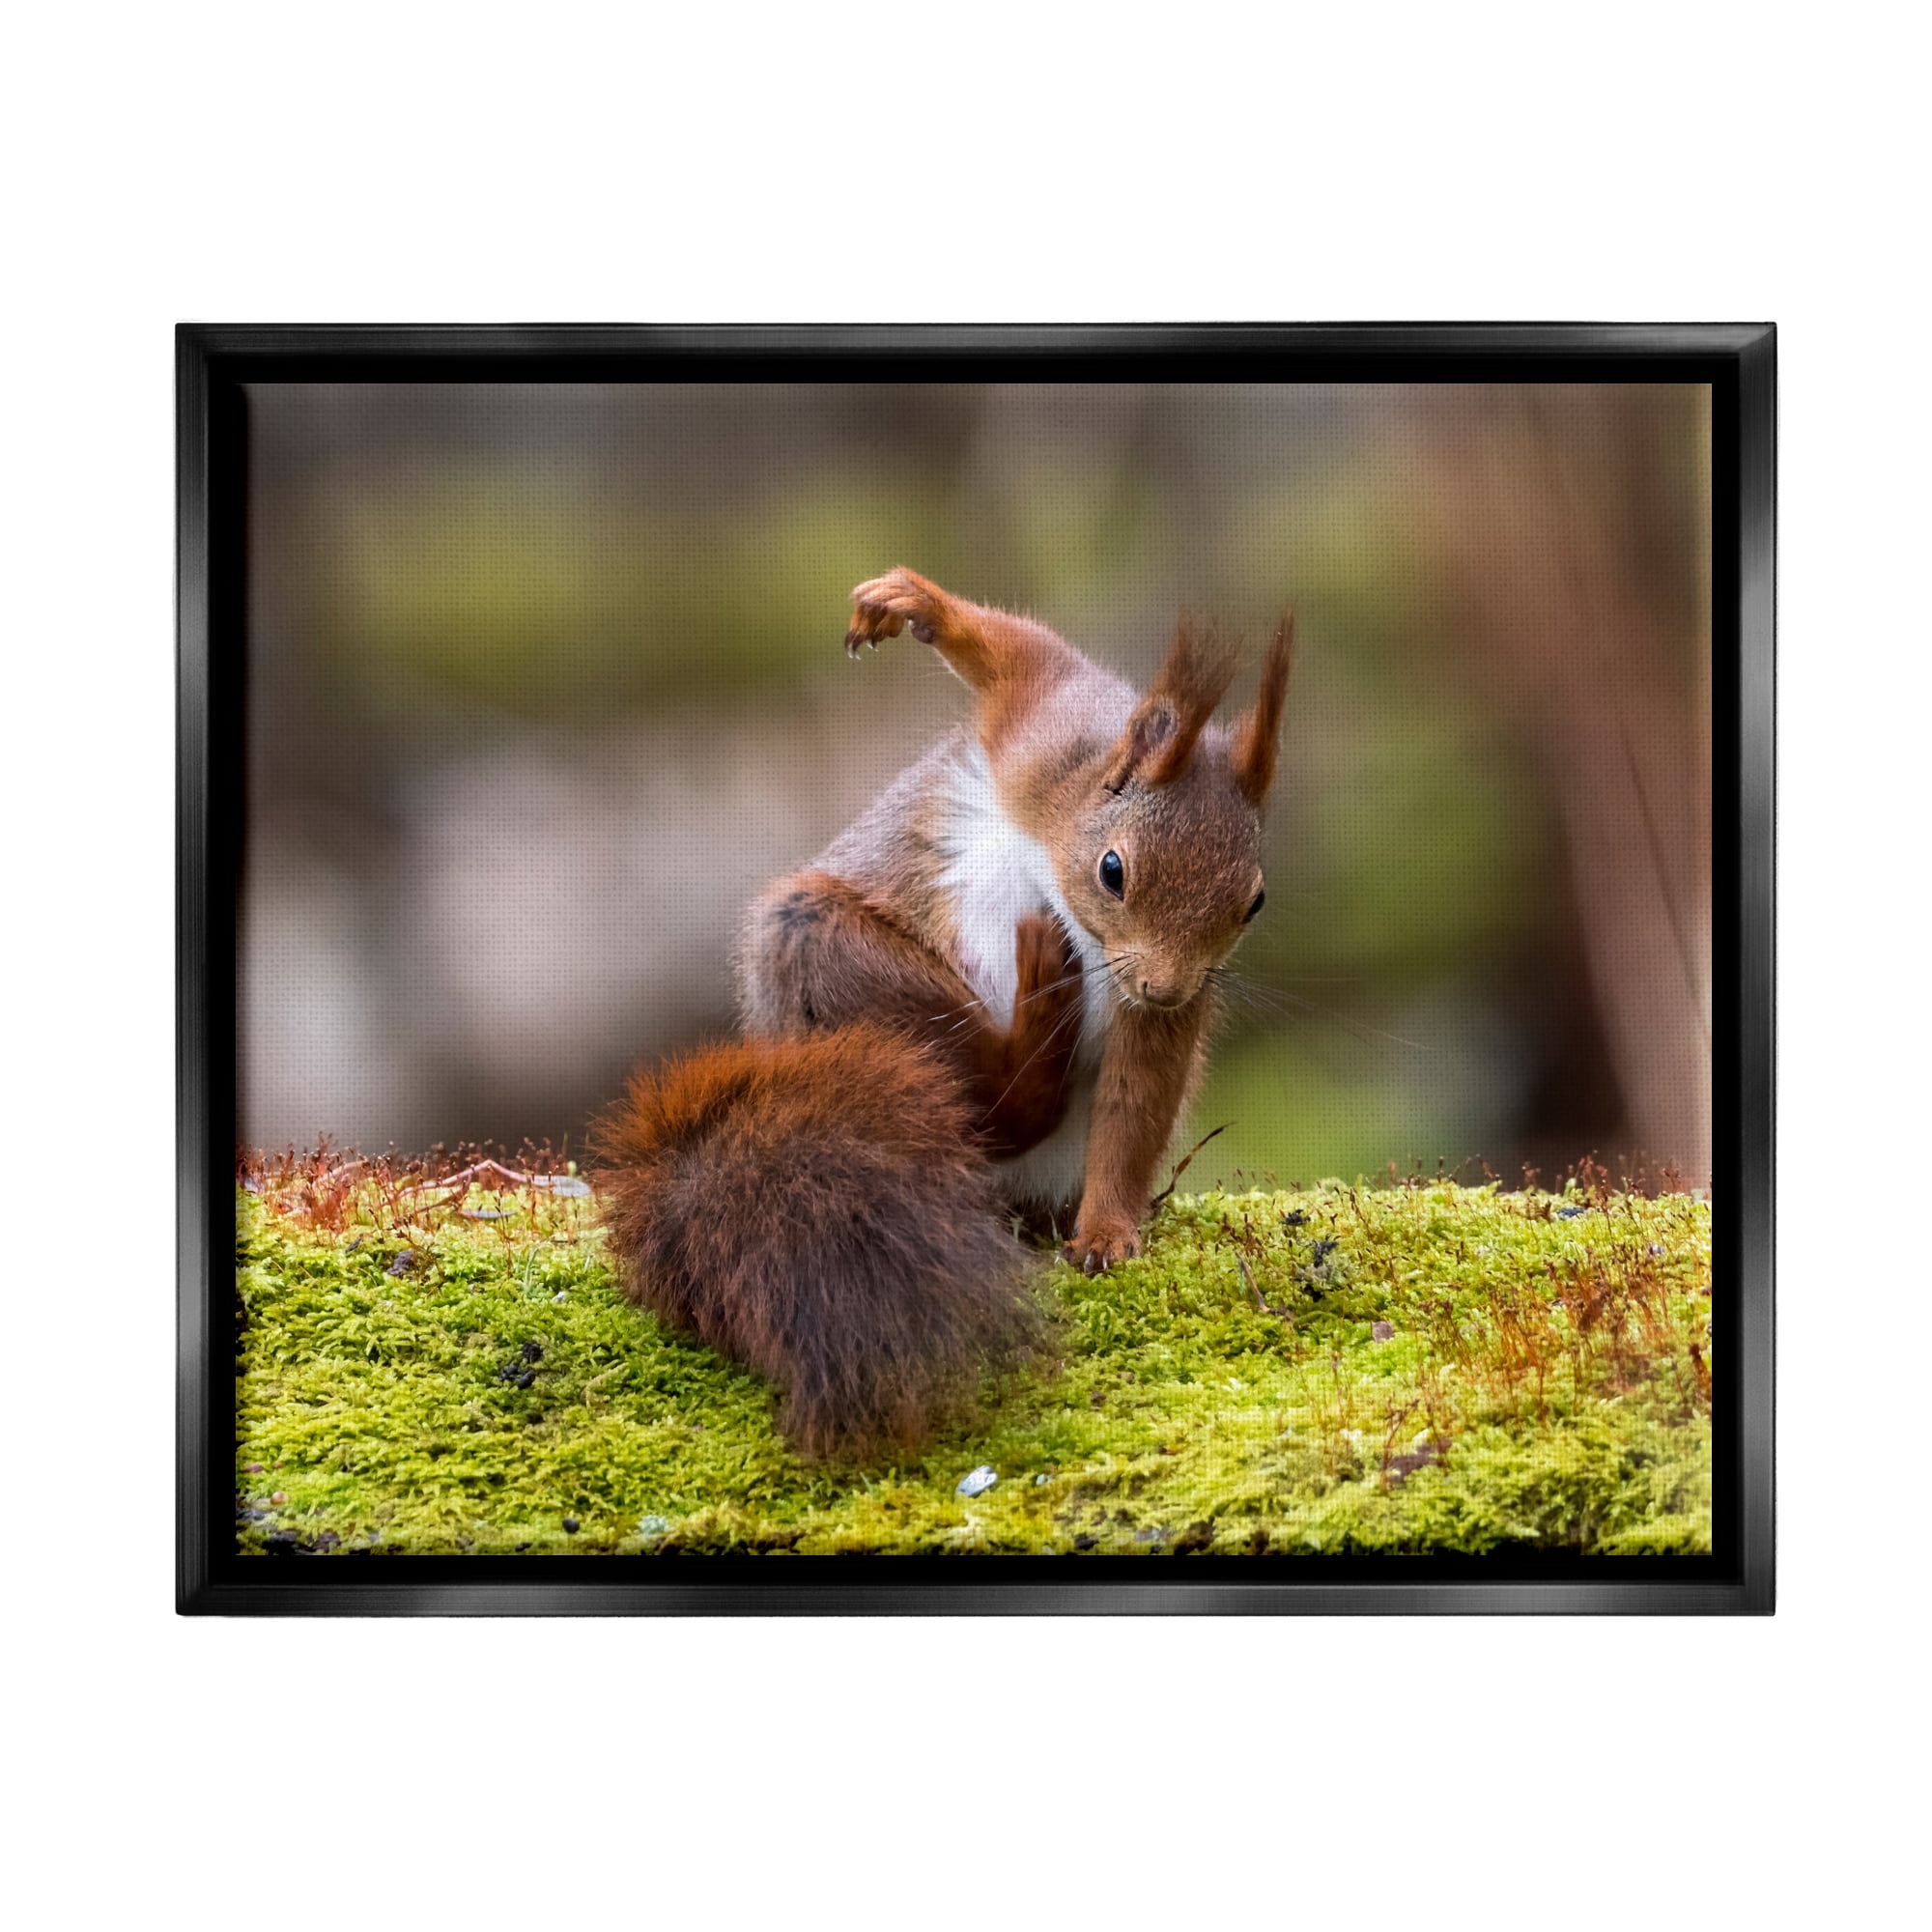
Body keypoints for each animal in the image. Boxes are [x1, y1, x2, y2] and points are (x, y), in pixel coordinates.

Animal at [595, 567, 1293, 1460]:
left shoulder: (1157, 1009)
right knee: (992, 1100)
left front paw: (1107, 1233)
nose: (1166, 988)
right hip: (822, 949)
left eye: (1254, 902)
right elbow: (1017, 652)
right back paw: (1036, 1019)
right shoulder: (1043, 729)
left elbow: (1136, 1107)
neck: (1061, 846)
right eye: (1113, 870)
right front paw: (912, 604)